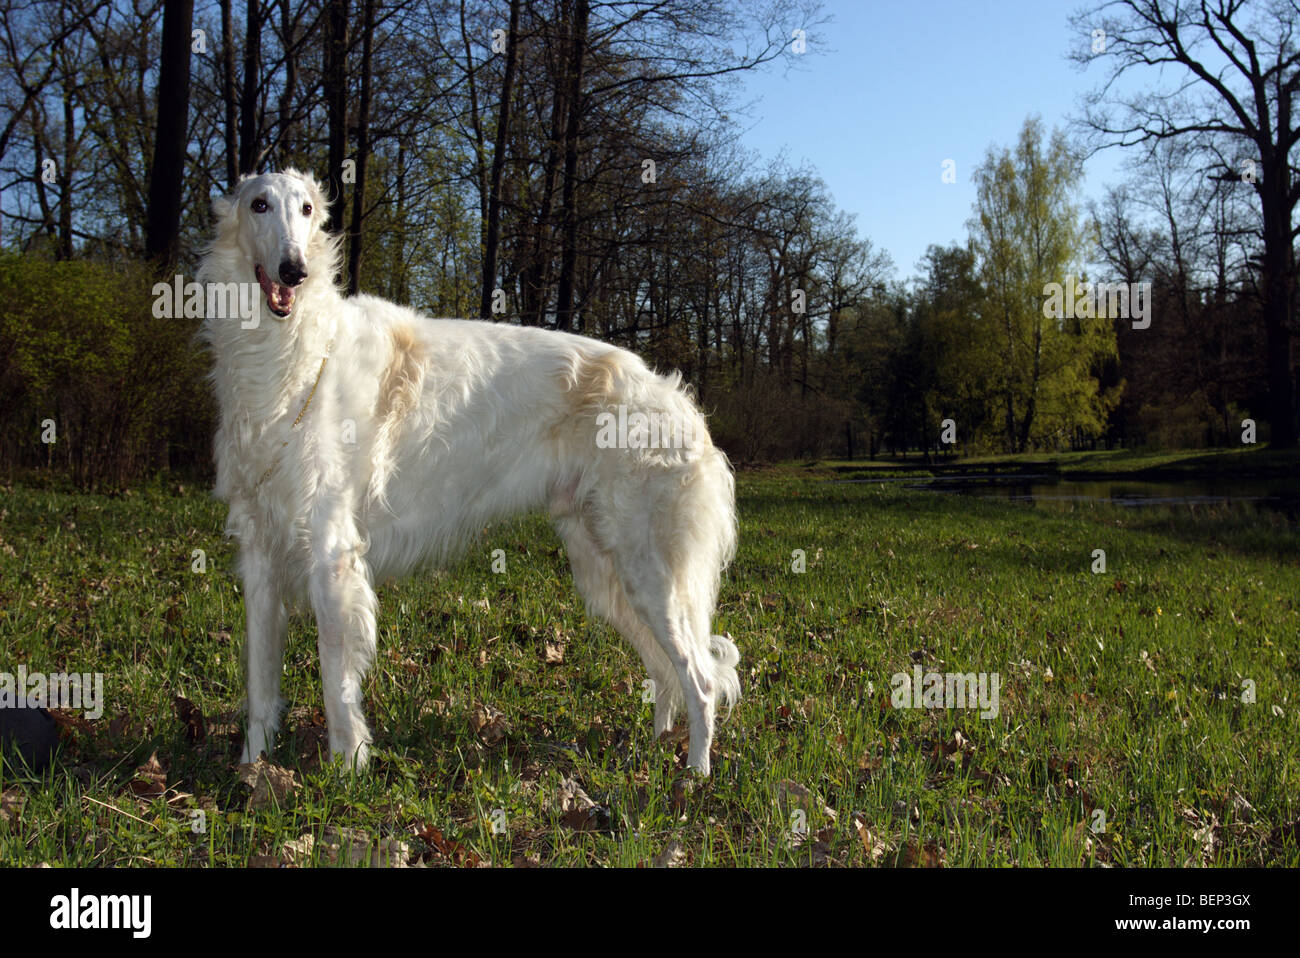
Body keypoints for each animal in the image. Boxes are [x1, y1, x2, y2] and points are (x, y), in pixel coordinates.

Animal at [195, 167, 743, 774]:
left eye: (308, 209)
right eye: (259, 204)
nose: (295, 269)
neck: (290, 353)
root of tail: (682, 405)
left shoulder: (331, 553)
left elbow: (336, 682)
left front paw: (346, 771)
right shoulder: (259, 555)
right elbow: (259, 688)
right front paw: (251, 769)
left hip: (650, 573)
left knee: (701, 680)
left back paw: (695, 775)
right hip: (606, 569)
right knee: (666, 673)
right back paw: (655, 746)